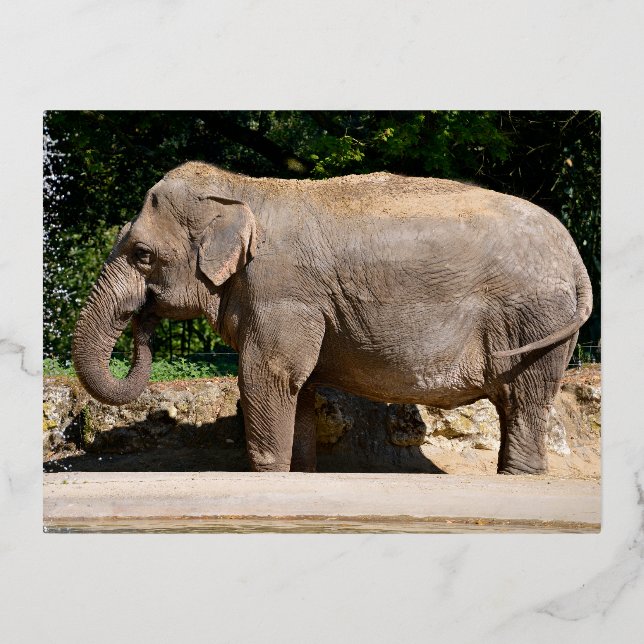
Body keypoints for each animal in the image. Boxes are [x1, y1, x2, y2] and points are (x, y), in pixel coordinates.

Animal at [72, 161, 592, 474]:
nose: (143, 320)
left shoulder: (282, 291)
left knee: (523, 399)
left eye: (142, 255)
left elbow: (268, 375)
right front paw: (299, 471)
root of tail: (575, 259)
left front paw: (267, 474)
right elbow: (298, 386)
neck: (244, 189)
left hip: (535, 319)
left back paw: (518, 477)